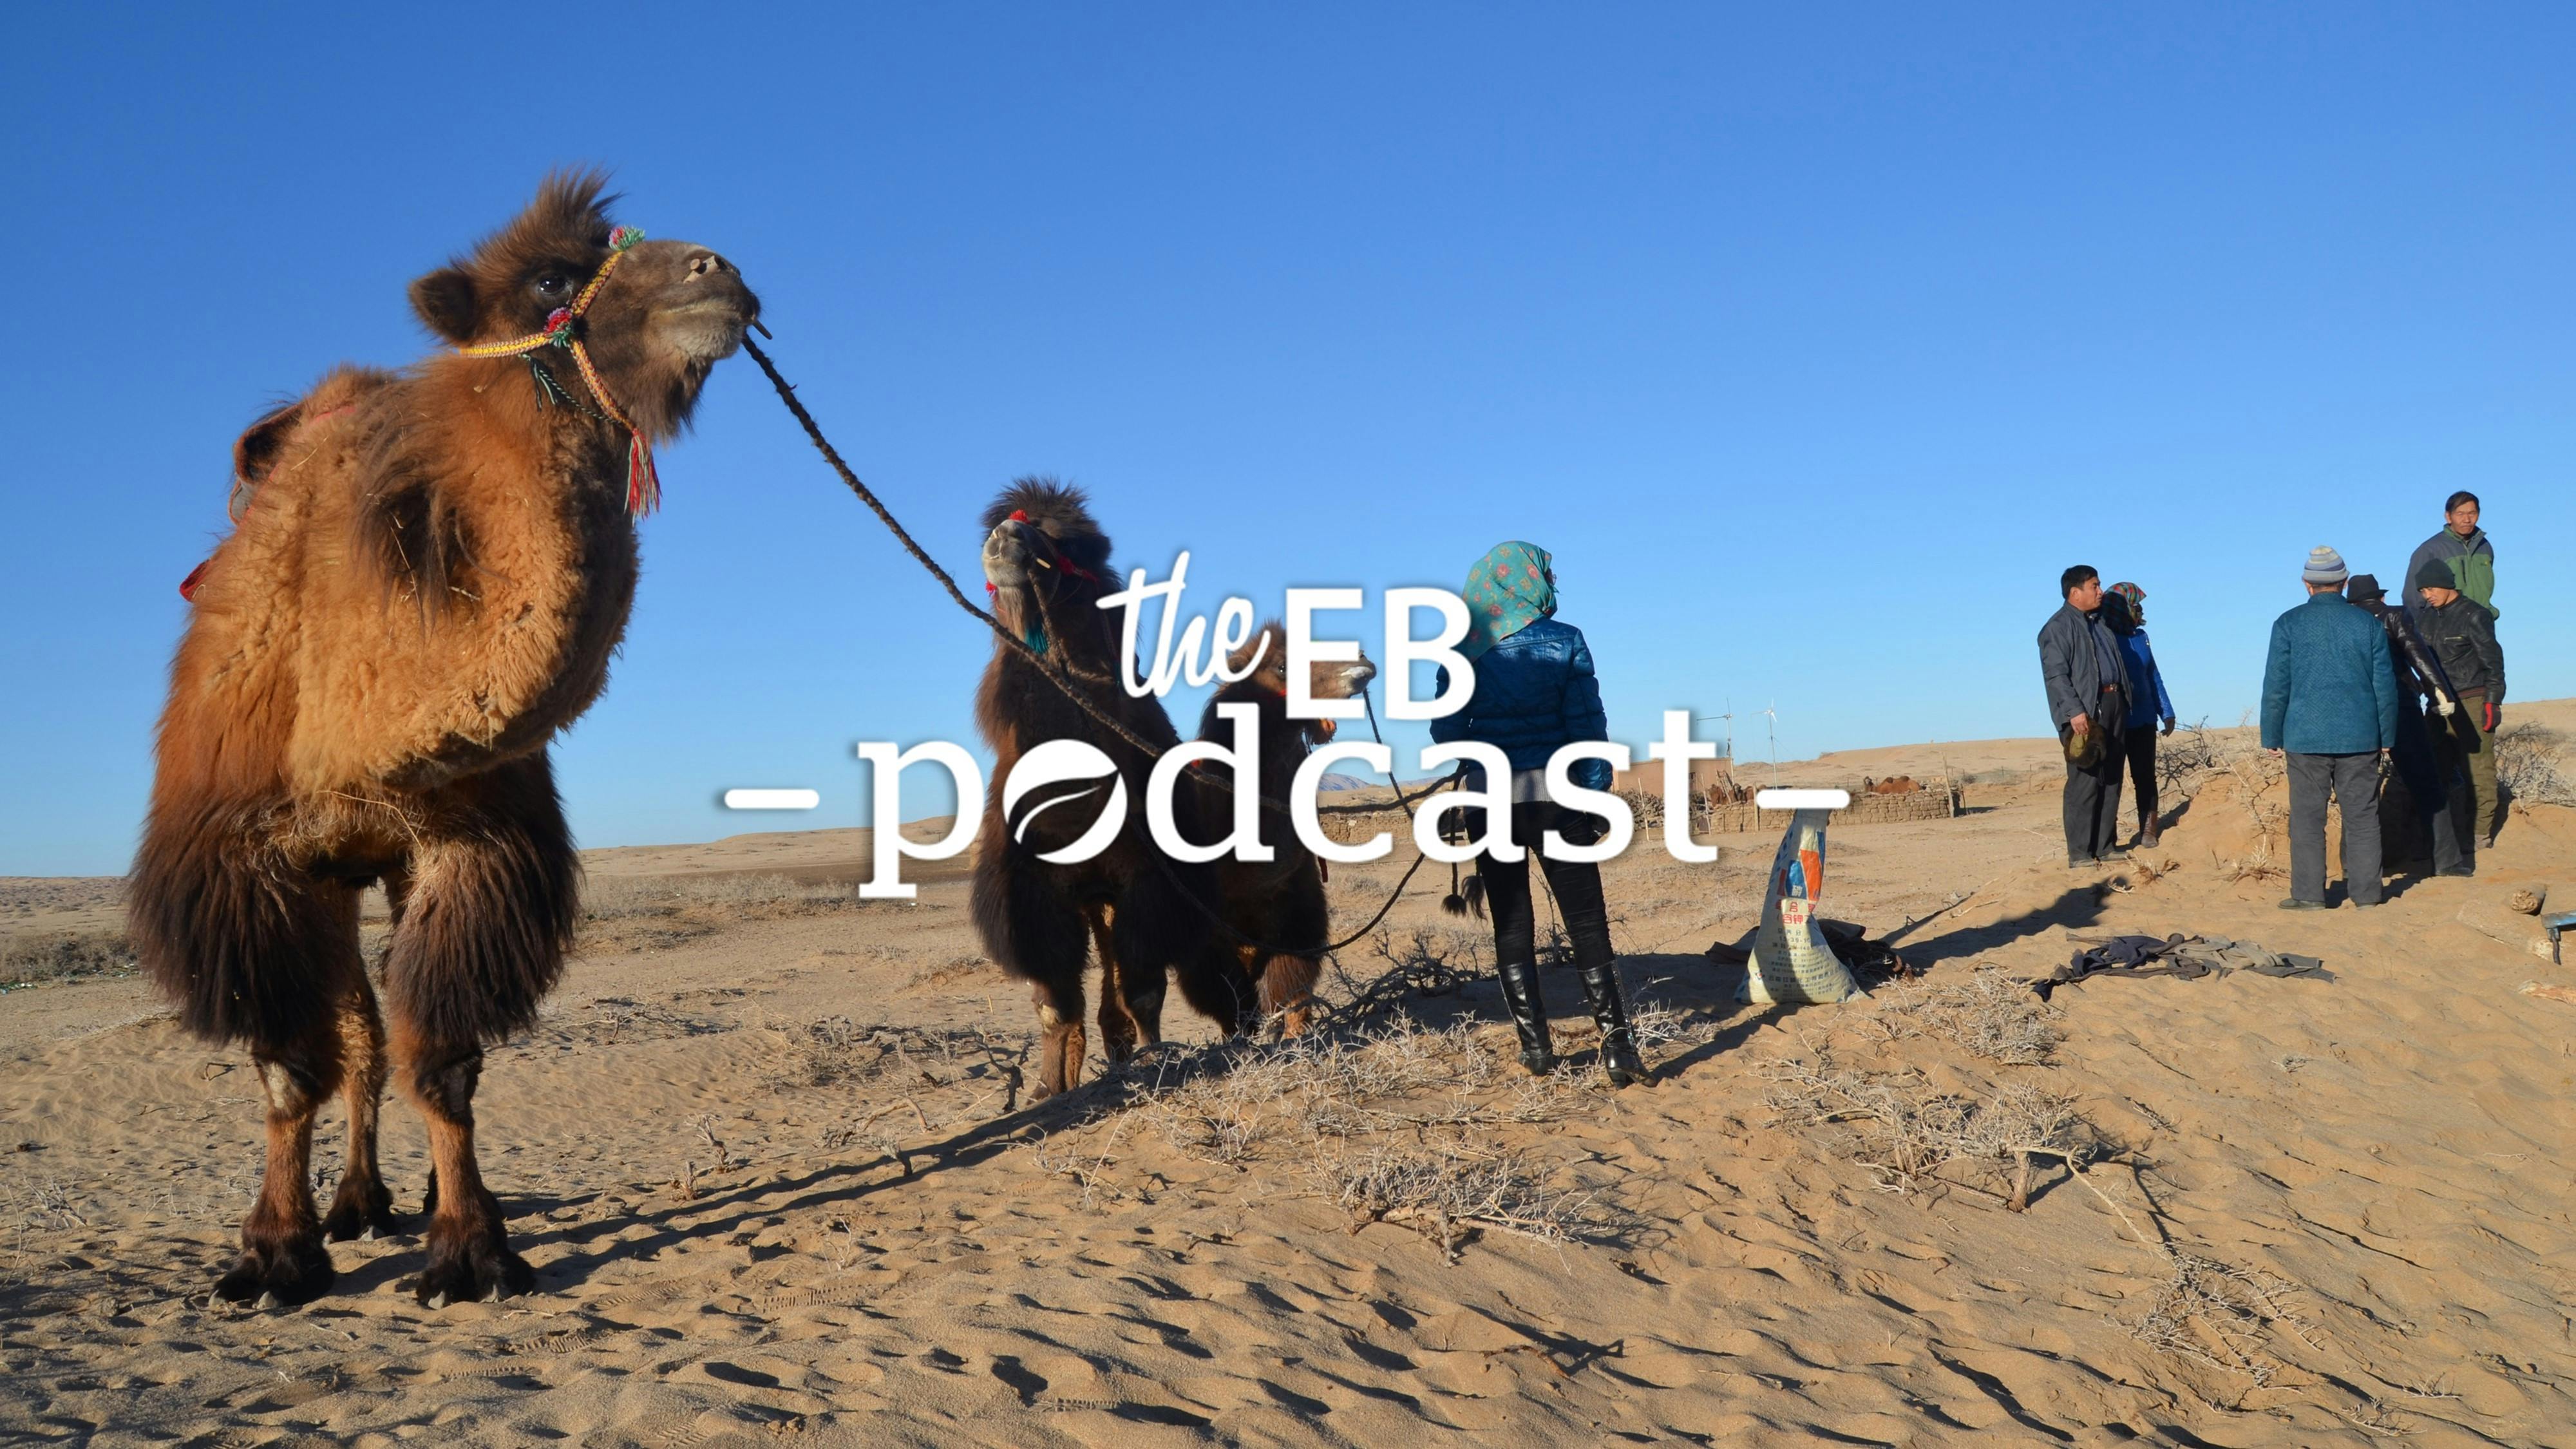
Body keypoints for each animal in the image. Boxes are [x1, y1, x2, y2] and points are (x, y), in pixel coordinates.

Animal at [130, 175, 759, 1307]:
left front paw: (470, 1249)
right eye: (550, 277)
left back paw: (387, 1199)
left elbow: (445, 1058)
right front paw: (271, 1257)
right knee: (352, 1038)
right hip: (334, 870)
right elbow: (288, 1068)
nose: (719, 271)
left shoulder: (477, 843)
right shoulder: (245, 857)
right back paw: (351, 1204)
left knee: (379, 1039)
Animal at [969, 480, 1250, 1097]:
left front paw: (1155, 1059)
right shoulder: (1034, 891)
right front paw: (1049, 1089)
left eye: (1070, 543)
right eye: (1009, 523)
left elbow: (1144, 988)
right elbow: (1054, 1002)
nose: (1006, 535)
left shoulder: (1150, 879)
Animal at [1187, 623, 1377, 1036]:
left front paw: (1296, 1035)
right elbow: (1230, 999)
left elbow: (1289, 985)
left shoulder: (1298, 906)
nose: (1362, 659)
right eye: (1282, 666)